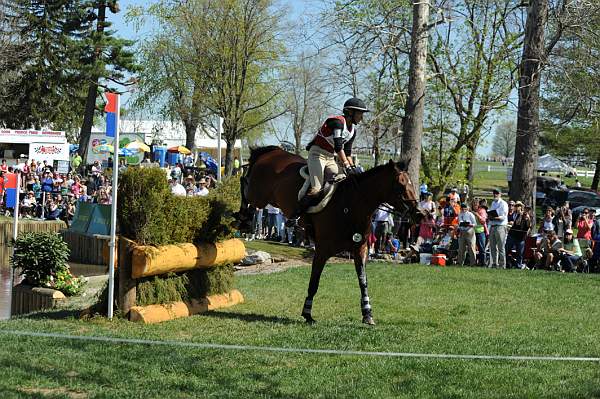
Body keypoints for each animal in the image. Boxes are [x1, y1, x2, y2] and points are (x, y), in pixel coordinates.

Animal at [234, 147, 422, 324]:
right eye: (400, 185)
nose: (419, 214)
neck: (351, 206)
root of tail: (273, 151)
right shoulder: (322, 250)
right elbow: (314, 282)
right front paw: (307, 313)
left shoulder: (360, 248)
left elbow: (363, 281)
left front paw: (367, 313)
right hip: (259, 195)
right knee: (244, 182)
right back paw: (243, 217)